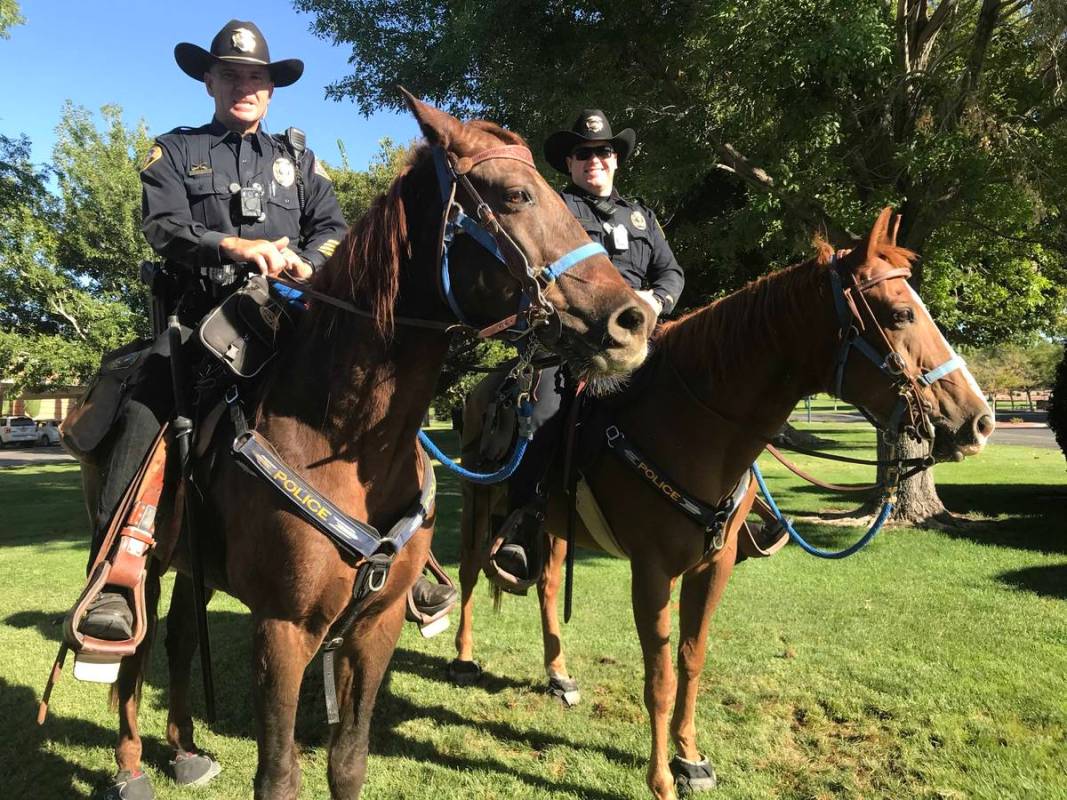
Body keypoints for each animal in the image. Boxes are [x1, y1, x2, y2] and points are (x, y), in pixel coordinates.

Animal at [77, 95, 648, 800]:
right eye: (516, 194)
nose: (633, 320)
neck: (341, 439)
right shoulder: (283, 630)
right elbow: (279, 774)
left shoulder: (376, 625)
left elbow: (348, 761)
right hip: (149, 562)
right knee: (133, 652)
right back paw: (131, 766)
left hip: (194, 562)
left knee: (182, 638)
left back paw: (184, 750)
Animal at [454, 211, 994, 800]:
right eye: (900, 314)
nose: (979, 421)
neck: (691, 425)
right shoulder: (651, 570)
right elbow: (660, 677)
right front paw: (661, 779)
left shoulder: (716, 563)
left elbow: (691, 659)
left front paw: (690, 759)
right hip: (480, 498)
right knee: (469, 570)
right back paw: (463, 658)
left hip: (555, 523)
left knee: (549, 585)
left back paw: (559, 675)